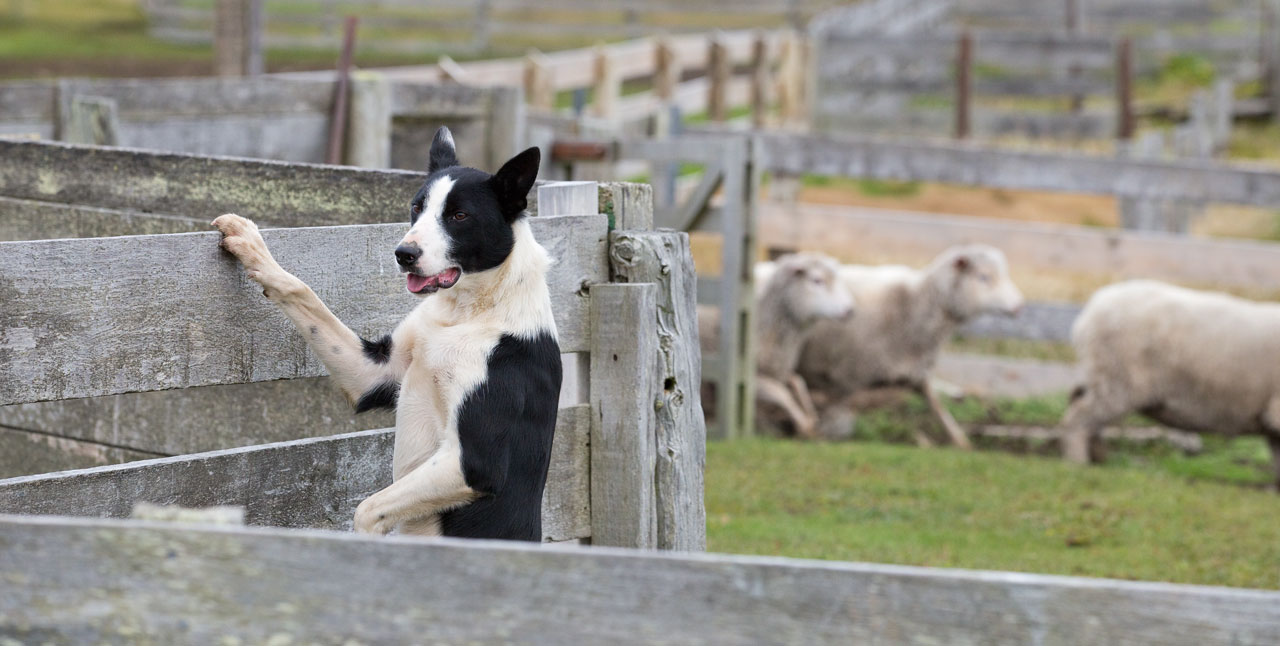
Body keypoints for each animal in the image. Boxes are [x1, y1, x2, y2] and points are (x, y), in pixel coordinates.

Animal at [213, 126, 560, 539]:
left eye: (460, 215)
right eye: (416, 208)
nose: (403, 253)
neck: (467, 312)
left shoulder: (475, 463)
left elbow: (367, 510)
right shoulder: (372, 374)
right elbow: (303, 293)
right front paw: (253, 247)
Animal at [752, 252, 855, 437]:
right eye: (817, 280)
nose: (849, 310)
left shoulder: (778, 370)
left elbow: (798, 382)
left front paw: (811, 414)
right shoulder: (753, 377)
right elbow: (782, 393)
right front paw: (804, 424)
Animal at [793, 244, 1024, 445]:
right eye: (984, 277)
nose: (1018, 306)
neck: (914, 303)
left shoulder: (918, 374)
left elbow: (939, 409)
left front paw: (961, 442)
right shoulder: (847, 376)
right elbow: (838, 418)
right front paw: (825, 436)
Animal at [1064, 277, 1280, 483]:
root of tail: (1094, 305)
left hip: (1103, 375)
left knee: (1082, 408)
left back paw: (1099, 459)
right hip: (1117, 377)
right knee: (1078, 419)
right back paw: (1079, 463)